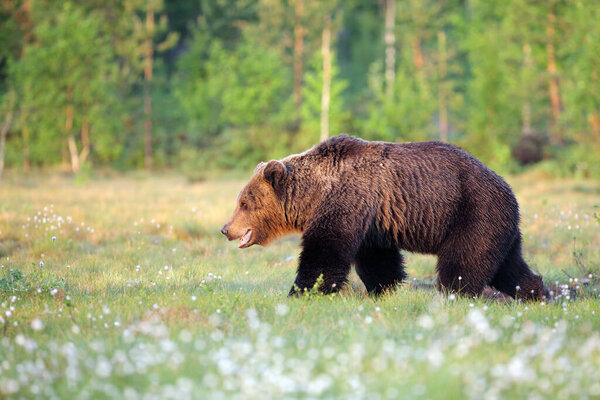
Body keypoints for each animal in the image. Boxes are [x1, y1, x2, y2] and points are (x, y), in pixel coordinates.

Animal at [220, 134, 548, 300]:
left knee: (463, 262)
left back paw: (452, 296)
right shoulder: (371, 220)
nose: (225, 228)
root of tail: (508, 189)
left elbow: (325, 252)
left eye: (244, 202)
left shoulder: (347, 200)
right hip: (498, 224)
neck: (313, 195)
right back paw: (537, 292)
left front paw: (302, 291)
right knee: (509, 265)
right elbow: (377, 260)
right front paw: (387, 289)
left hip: (471, 212)